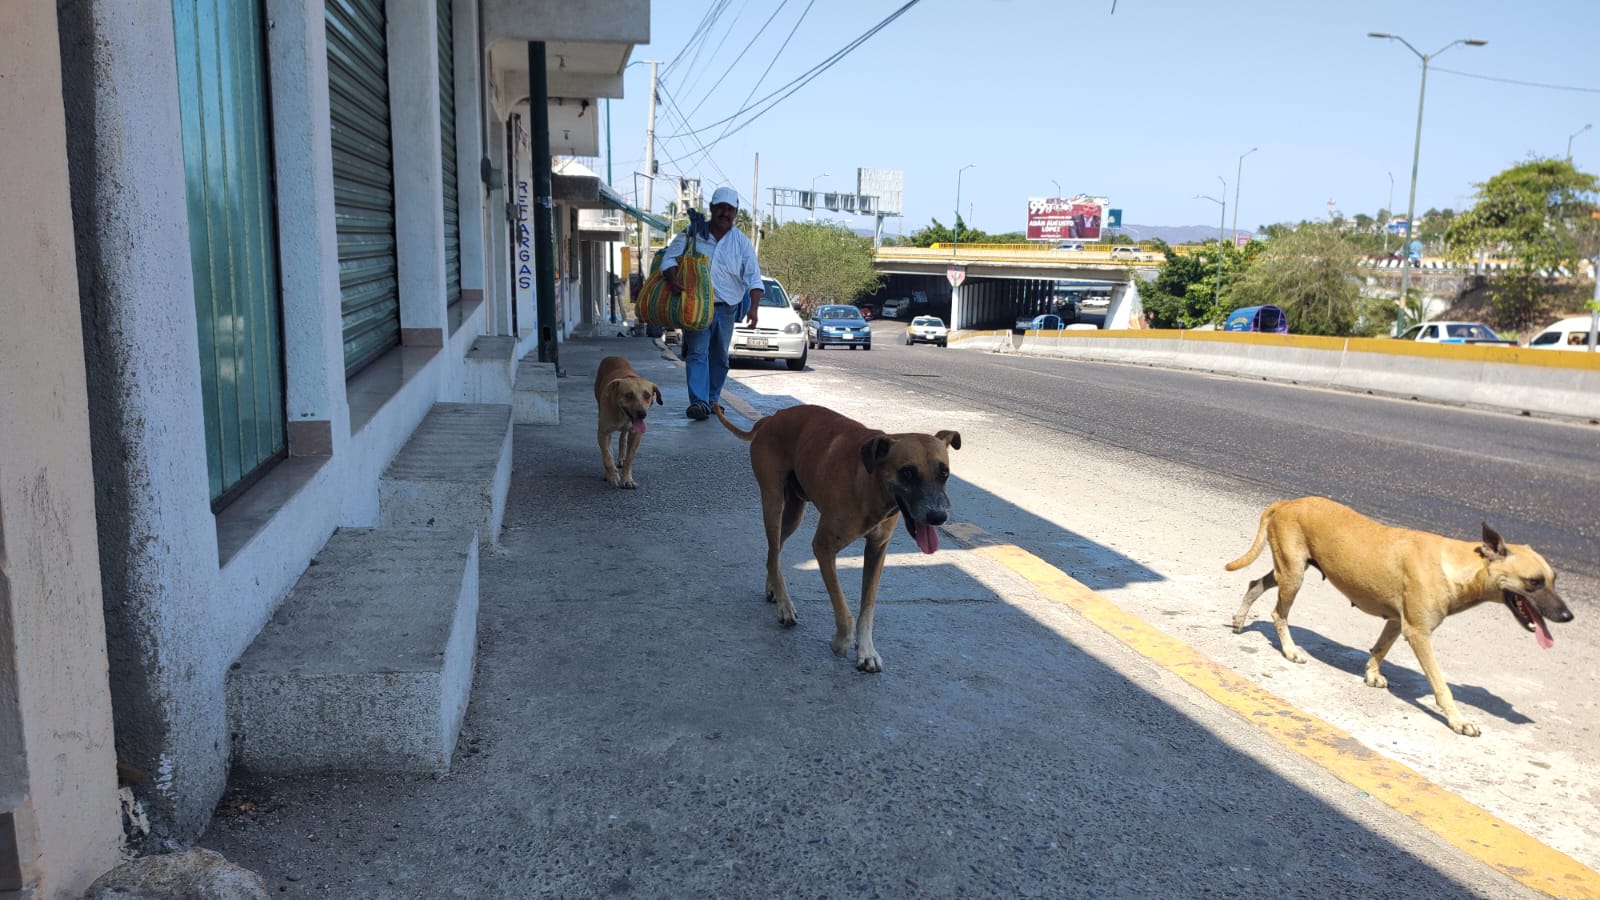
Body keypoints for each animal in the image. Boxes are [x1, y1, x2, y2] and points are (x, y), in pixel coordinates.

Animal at [592, 353, 659, 486]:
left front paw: (627, 479)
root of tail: (613, 356)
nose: (642, 414)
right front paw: (612, 475)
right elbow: (607, 456)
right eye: (629, 395)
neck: (622, 414)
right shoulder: (603, 432)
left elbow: (630, 458)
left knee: (623, 437)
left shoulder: (636, 433)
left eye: (647, 395)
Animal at [716, 403, 960, 669]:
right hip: (773, 503)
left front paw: (866, 650)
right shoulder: (823, 547)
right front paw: (842, 640)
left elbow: (867, 606)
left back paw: (774, 590)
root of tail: (771, 418)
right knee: (773, 550)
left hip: (794, 514)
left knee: (773, 555)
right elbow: (842, 606)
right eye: (907, 472)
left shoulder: (877, 550)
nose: (938, 516)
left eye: (944, 473)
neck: (869, 483)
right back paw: (785, 606)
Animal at [1228, 493, 1568, 733]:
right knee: (1278, 614)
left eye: (1554, 579)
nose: (1567, 616)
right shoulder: (1418, 633)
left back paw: (1240, 620)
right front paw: (1458, 721)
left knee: (1255, 583)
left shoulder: (1395, 620)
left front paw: (1371, 673)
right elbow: (1441, 685)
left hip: (1287, 571)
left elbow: (1380, 649)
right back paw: (1289, 650)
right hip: (1294, 574)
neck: (1456, 564)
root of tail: (1287, 502)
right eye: (1534, 582)